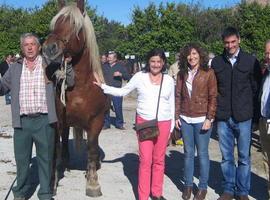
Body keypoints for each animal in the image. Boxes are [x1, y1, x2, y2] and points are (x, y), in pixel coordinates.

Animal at [42, 0, 108, 197]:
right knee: (64, 140)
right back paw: (65, 162)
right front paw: (52, 183)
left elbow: (92, 147)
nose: (49, 48)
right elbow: (55, 148)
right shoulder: (57, 122)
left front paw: (92, 183)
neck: (80, 87)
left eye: (75, 26)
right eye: (55, 24)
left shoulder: (96, 121)